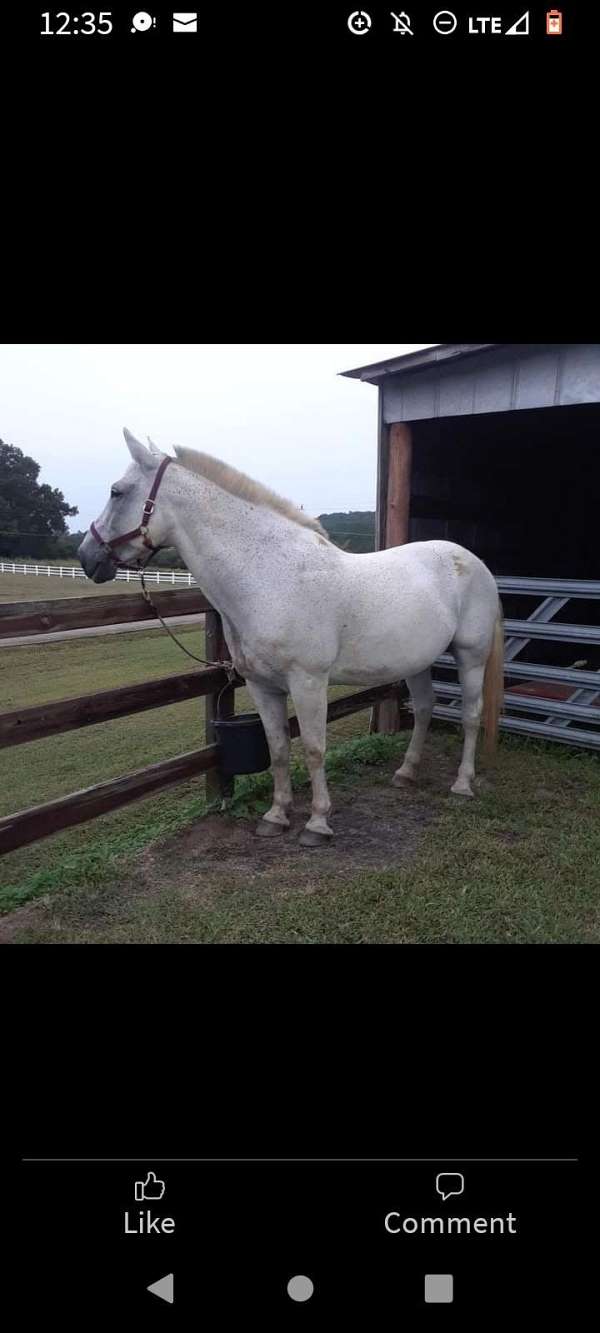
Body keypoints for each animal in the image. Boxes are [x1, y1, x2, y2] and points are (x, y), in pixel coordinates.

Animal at [78, 429, 501, 842]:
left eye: (117, 491)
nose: (86, 557)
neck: (270, 577)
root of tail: (473, 561)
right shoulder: (262, 686)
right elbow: (279, 748)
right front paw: (277, 815)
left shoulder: (308, 682)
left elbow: (313, 748)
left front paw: (317, 822)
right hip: (417, 660)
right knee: (426, 707)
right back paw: (406, 772)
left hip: (470, 656)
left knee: (471, 715)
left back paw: (462, 784)